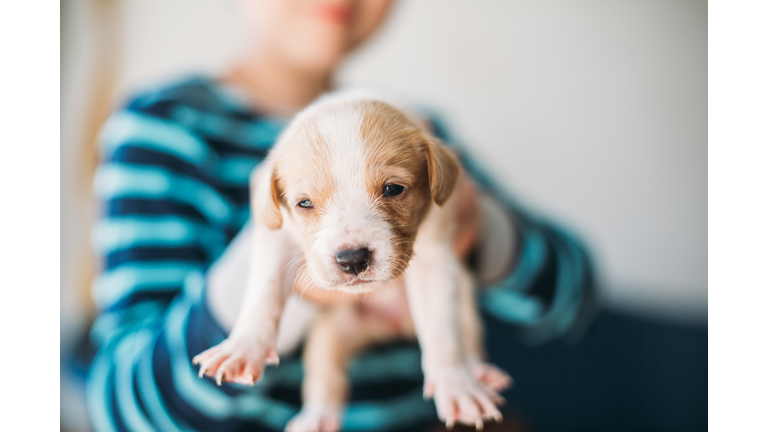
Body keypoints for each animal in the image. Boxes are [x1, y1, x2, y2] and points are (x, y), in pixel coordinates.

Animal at [195, 94, 512, 432]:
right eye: (304, 203)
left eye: (393, 189)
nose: (352, 260)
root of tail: (392, 326)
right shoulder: (274, 238)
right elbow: (263, 292)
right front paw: (242, 348)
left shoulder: (436, 258)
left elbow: (443, 333)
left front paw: (457, 386)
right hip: (330, 333)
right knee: (326, 378)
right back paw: (316, 419)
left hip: (465, 304)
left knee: (469, 340)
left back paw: (479, 374)